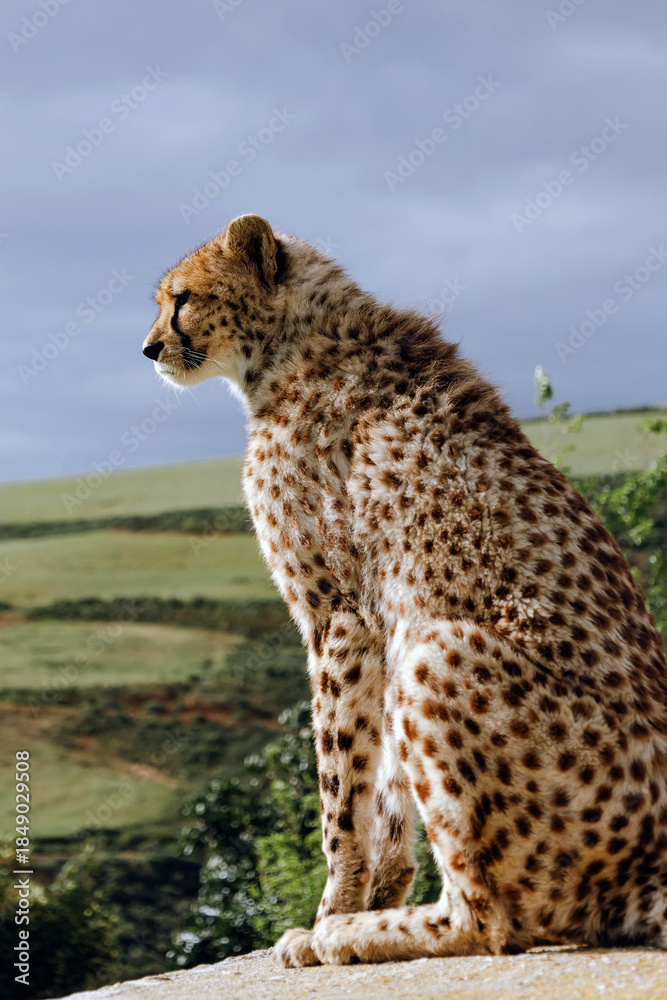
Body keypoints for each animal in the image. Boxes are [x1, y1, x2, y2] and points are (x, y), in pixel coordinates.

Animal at [143, 214, 667, 966]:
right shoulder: (376, 625)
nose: (149, 347)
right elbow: (383, 792)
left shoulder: (337, 616)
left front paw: (330, 916)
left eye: (182, 298)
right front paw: (371, 895)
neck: (292, 343)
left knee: (491, 919)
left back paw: (361, 935)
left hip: (436, 649)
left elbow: (339, 793)